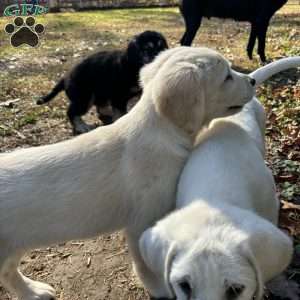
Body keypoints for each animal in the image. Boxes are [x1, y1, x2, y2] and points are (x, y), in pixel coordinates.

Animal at [0, 47, 255, 300]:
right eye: (227, 77)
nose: (252, 80)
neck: (160, 131)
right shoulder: (141, 222)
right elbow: (146, 265)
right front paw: (160, 290)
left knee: (9, 272)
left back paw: (33, 291)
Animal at [37, 30, 168, 134]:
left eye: (162, 47)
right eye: (147, 49)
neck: (134, 66)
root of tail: (65, 78)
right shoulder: (118, 96)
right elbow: (121, 114)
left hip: (99, 92)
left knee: (100, 106)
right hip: (85, 97)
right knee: (71, 112)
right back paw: (81, 127)